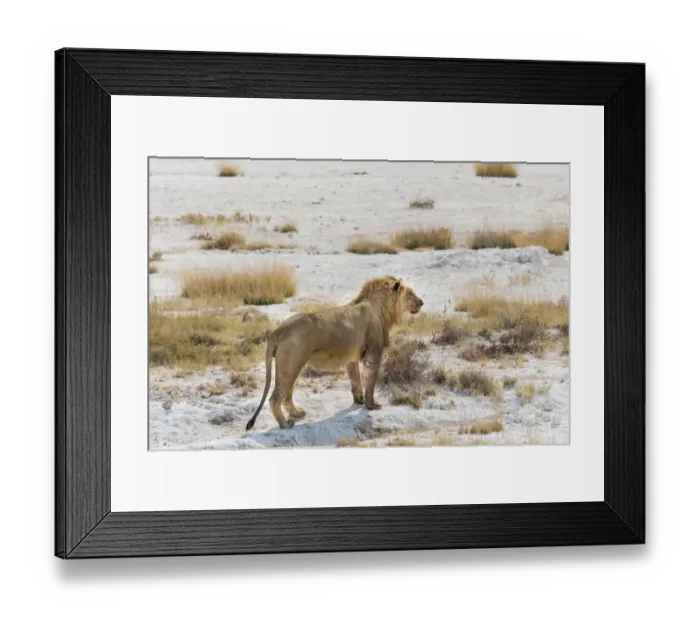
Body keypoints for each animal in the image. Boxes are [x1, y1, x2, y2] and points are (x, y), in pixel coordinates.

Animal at [245, 276, 424, 431]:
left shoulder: (352, 358)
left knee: (287, 395)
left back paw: (297, 413)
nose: (422, 302)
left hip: (292, 367)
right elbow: (370, 383)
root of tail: (278, 330)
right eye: (411, 293)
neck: (382, 309)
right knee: (275, 398)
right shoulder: (372, 355)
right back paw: (285, 425)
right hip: (290, 365)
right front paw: (372, 405)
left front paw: (358, 401)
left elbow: (356, 381)